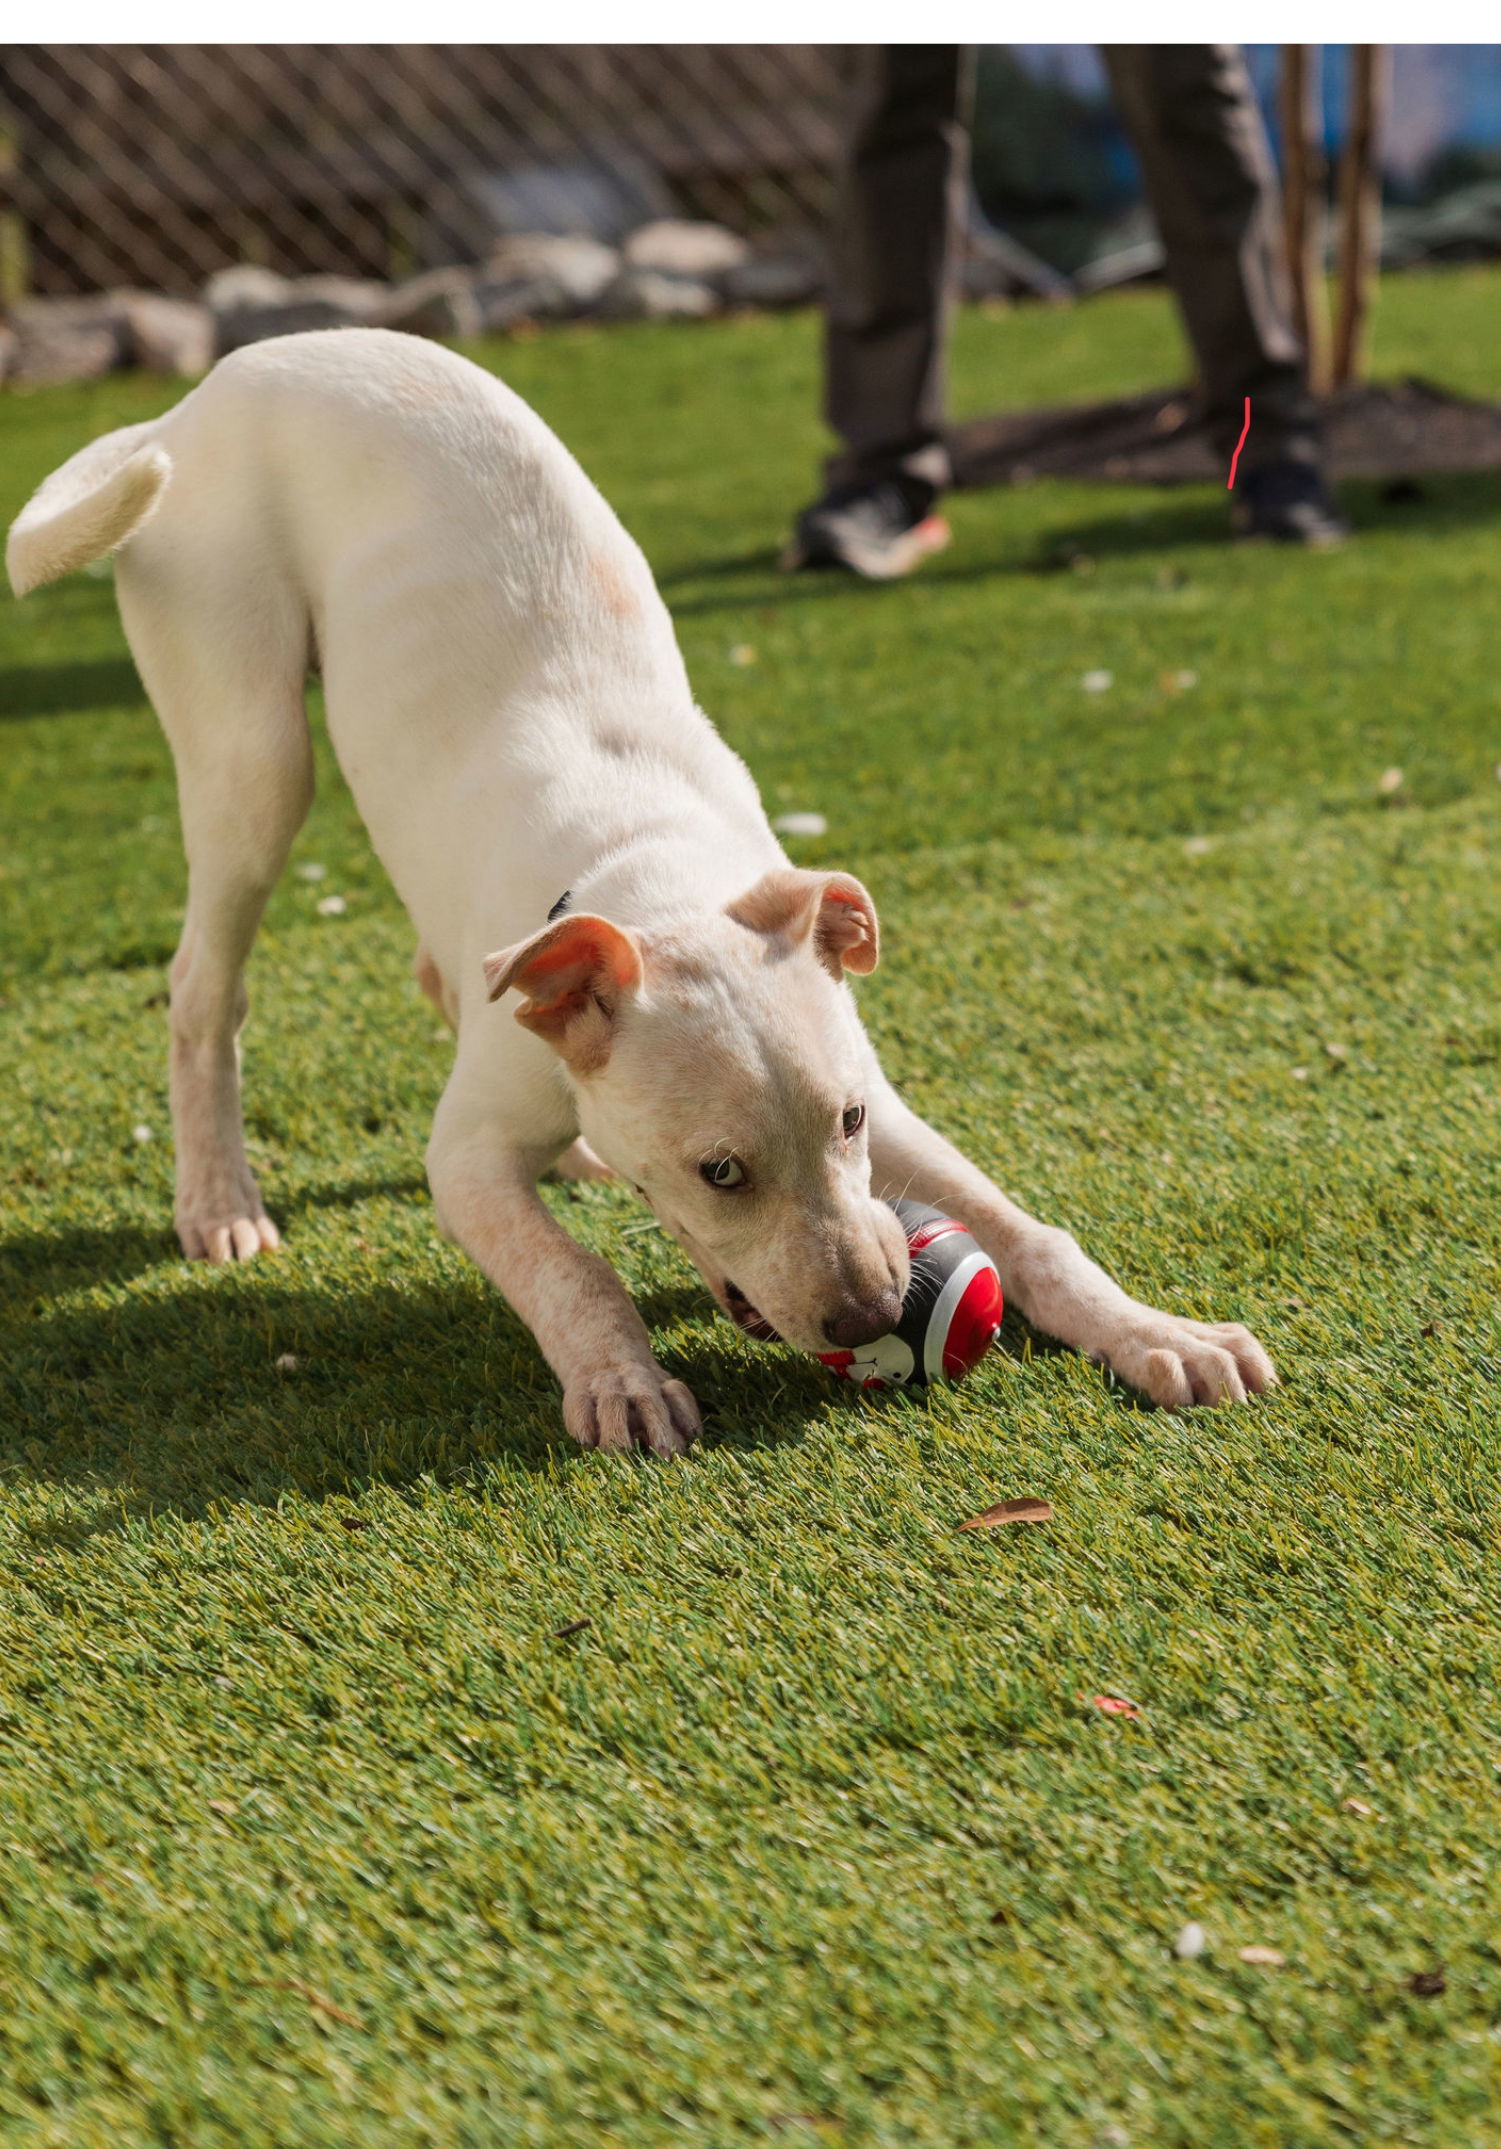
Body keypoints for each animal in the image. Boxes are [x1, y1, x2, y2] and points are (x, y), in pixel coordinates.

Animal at [5, 326, 1264, 1452]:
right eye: (721, 1172)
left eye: (849, 1121)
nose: (873, 1314)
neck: (654, 881)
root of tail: (193, 400)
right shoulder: (463, 1160)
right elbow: (569, 1268)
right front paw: (620, 1382)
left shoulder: (886, 1099)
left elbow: (1025, 1223)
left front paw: (1159, 1332)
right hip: (253, 755)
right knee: (201, 986)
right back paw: (220, 1201)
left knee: (430, 966)